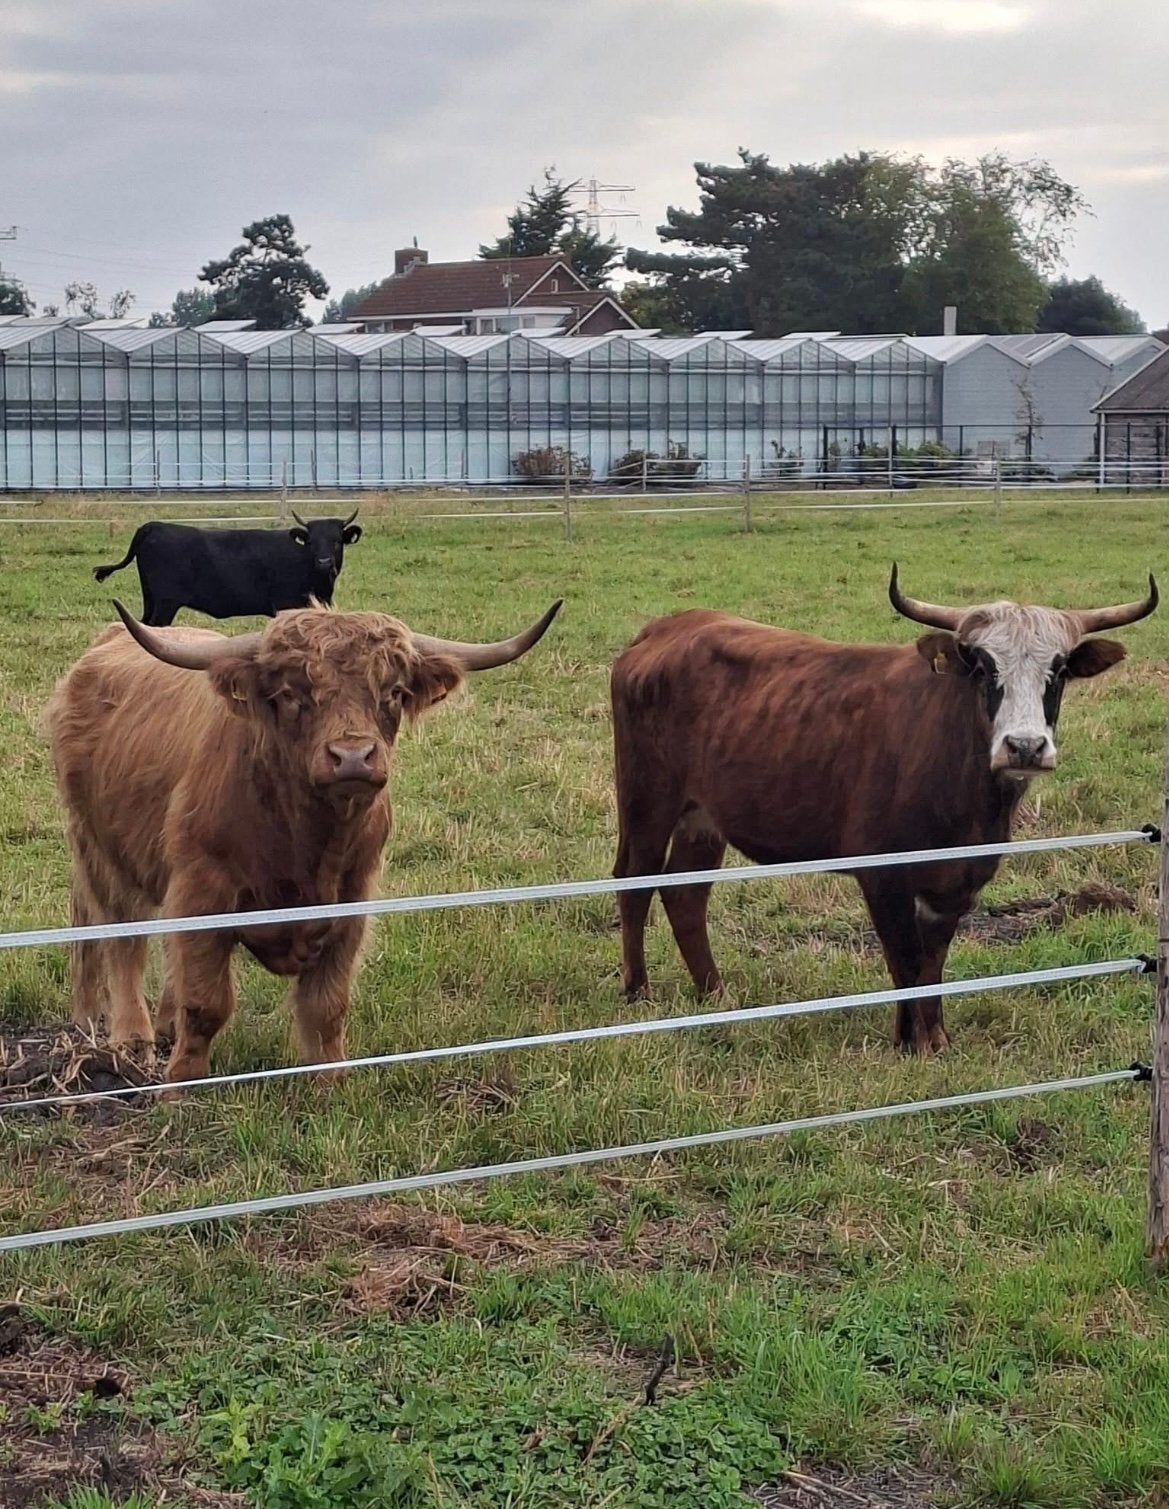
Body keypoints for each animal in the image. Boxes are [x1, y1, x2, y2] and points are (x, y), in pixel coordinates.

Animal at [45, 594, 562, 1082]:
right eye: (292, 694)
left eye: (394, 692)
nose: (353, 757)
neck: (307, 847)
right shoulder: (201, 891)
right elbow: (207, 1003)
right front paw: (181, 1089)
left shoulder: (351, 903)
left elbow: (325, 1007)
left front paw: (331, 1086)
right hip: (100, 847)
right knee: (118, 935)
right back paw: (129, 1037)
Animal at [92, 508, 364, 625]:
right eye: (312, 542)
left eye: (337, 541)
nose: (324, 562)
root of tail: (153, 526)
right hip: (166, 603)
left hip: (151, 598)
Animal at [610, 567, 1157, 1054]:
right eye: (983, 668)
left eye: (1059, 671)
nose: (1024, 746)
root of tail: (670, 627)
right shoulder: (883, 874)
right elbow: (906, 959)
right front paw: (910, 1041)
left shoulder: (956, 883)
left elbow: (933, 963)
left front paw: (935, 1040)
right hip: (646, 802)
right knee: (634, 883)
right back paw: (638, 991)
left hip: (703, 818)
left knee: (686, 895)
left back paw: (716, 995)